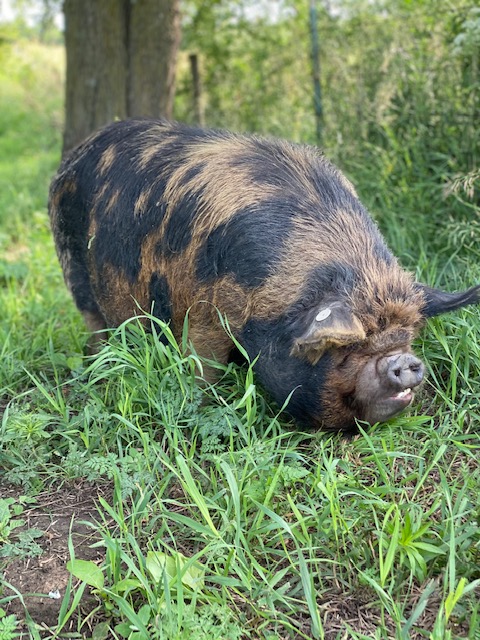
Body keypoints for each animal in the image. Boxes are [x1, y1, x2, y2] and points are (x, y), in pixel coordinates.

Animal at [49, 118, 480, 432]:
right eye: (345, 350)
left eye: (408, 336)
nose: (403, 360)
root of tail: (75, 154)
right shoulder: (203, 314)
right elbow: (204, 364)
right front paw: (203, 404)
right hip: (73, 268)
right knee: (94, 322)